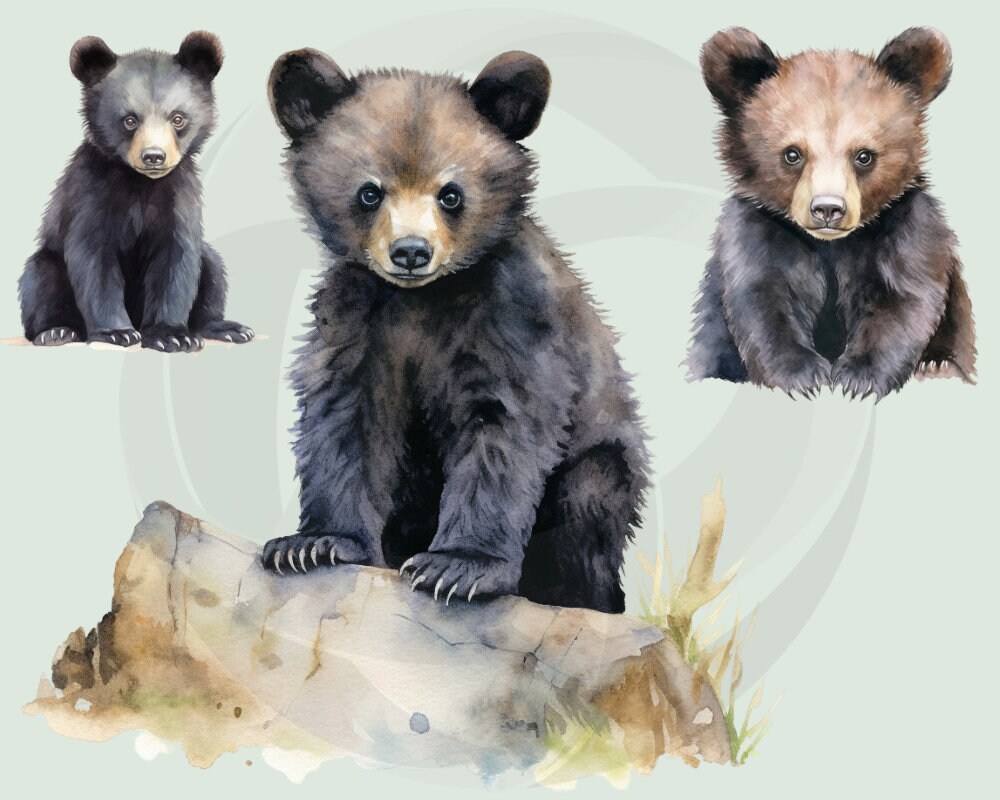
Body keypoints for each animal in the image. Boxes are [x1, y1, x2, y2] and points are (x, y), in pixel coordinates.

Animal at [17, 32, 253, 352]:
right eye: (130, 120)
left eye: (177, 118)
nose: (153, 156)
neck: (142, 183)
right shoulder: (91, 194)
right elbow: (93, 259)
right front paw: (117, 333)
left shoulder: (179, 197)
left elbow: (175, 260)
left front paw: (172, 334)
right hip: (48, 261)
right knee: (40, 279)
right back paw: (56, 331)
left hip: (208, 261)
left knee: (213, 269)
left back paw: (227, 328)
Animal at [259, 49, 649, 613]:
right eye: (369, 191)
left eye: (451, 194)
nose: (411, 252)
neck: (422, 299)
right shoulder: (358, 318)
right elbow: (346, 420)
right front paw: (314, 544)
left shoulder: (510, 314)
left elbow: (503, 424)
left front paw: (459, 567)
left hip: (598, 464)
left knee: (585, 512)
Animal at [684, 27, 976, 398]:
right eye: (792, 154)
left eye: (864, 155)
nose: (828, 208)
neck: (830, 245)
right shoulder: (759, 231)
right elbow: (762, 299)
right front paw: (802, 375)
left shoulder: (906, 228)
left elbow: (903, 300)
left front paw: (858, 376)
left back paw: (937, 365)